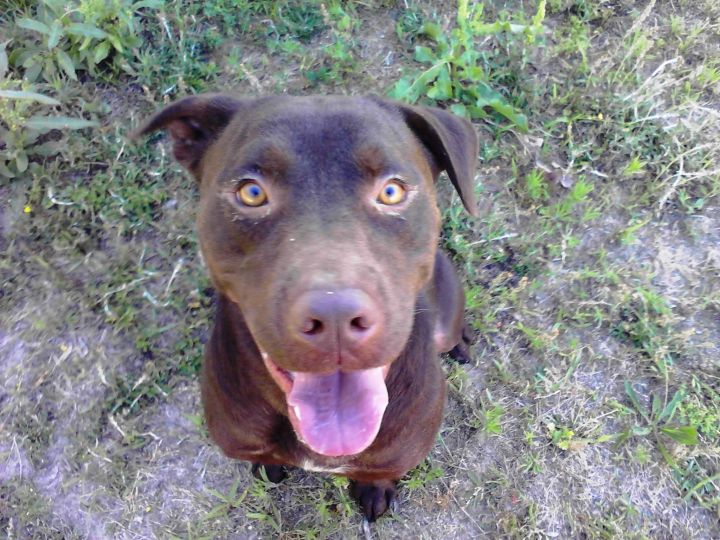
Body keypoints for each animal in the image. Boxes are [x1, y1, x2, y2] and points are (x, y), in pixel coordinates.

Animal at [134, 95, 478, 520]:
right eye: (251, 193)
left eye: (392, 192)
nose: (335, 317)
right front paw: (268, 466)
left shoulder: (394, 453)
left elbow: (378, 471)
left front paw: (374, 489)